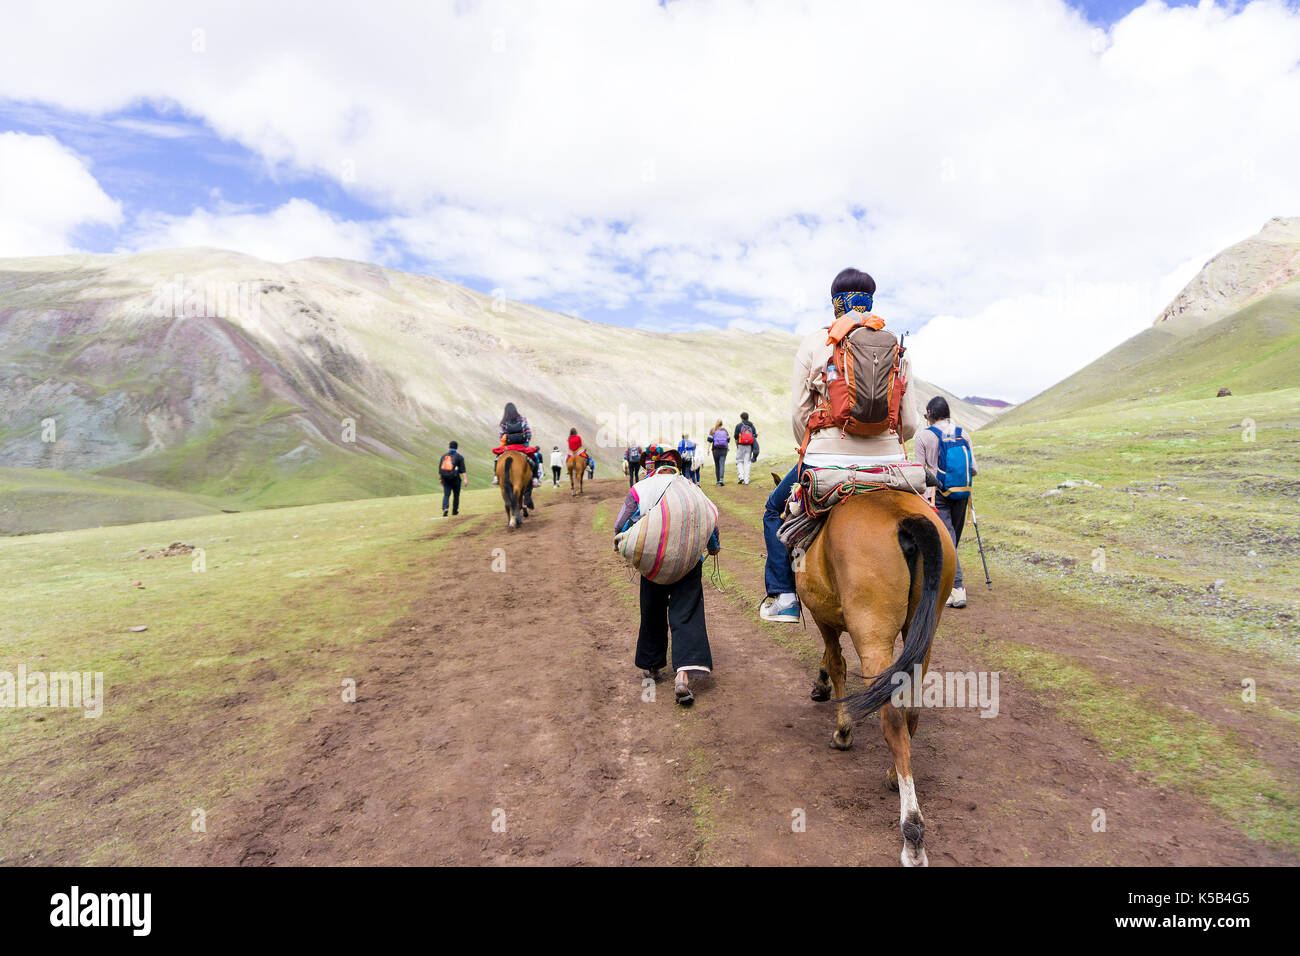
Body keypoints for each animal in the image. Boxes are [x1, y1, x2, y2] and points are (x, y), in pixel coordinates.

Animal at [785, 486, 961, 868]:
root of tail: (904, 517)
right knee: (911, 707)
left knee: (892, 716)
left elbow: (836, 662)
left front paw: (842, 729)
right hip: (925, 630)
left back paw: (912, 833)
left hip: (872, 633)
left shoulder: (823, 615)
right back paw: (894, 776)